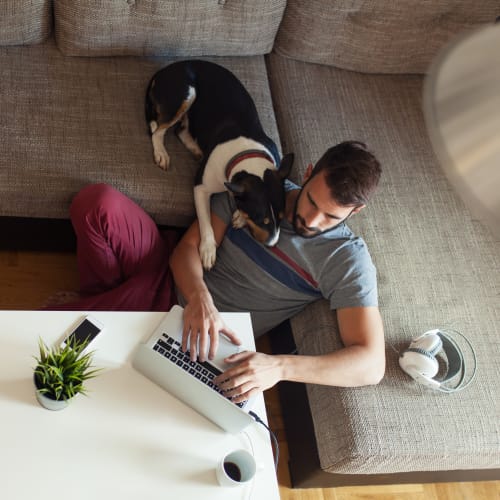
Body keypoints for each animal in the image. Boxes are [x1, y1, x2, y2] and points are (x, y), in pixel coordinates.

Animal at [146, 61, 292, 272]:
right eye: (261, 219)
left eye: (281, 217)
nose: (272, 245)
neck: (247, 156)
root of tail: (167, 68)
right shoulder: (200, 188)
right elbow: (205, 221)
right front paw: (208, 250)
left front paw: (240, 216)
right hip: (187, 93)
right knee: (158, 130)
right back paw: (161, 153)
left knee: (180, 130)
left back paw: (195, 148)